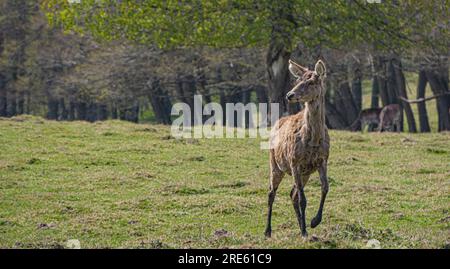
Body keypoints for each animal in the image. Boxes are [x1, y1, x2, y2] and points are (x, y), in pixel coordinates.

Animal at [264, 58, 330, 237]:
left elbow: (325, 188)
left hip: (305, 173)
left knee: (292, 194)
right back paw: (268, 231)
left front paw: (314, 222)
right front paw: (308, 228)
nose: (289, 95)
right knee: (271, 192)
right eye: (298, 80)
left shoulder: (323, 160)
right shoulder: (295, 162)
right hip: (275, 164)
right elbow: (303, 199)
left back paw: (301, 226)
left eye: (311, 81)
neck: (313, 141)